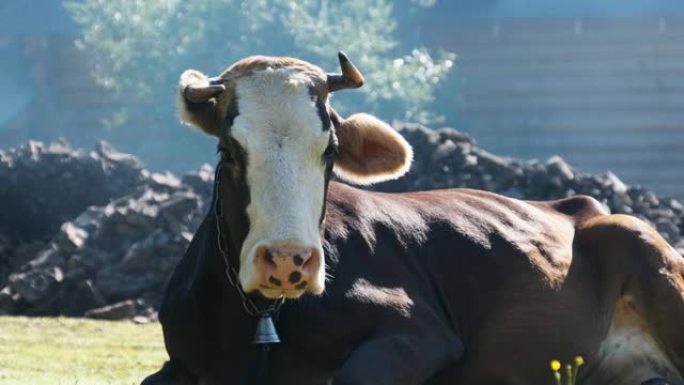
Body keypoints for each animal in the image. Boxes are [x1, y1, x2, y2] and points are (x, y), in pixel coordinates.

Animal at [143, 51, 684, 384]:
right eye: (229, 151)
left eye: (330, 151)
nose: (287, 260)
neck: (262, 321)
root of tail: (581, 206)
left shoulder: (422, 333)